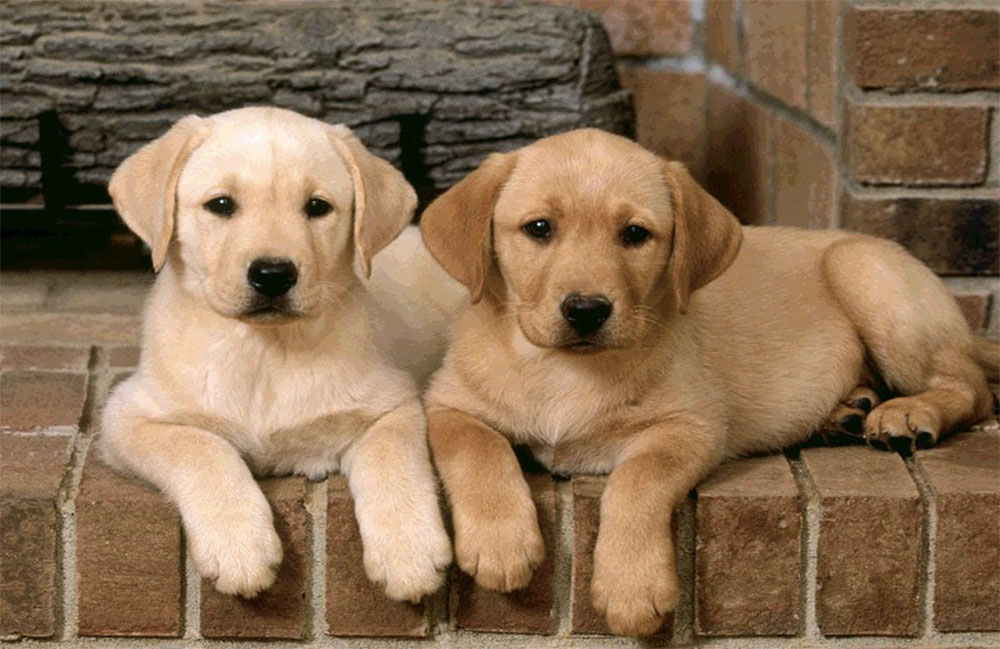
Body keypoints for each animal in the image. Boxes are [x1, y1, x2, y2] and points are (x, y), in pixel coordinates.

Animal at [101, 107, 460, 602]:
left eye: (317, 207)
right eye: (221, 205)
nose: (273, 274)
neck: (263, 352)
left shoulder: (393, 405)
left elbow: (395, 461)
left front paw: (410, 550)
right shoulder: (129, 417)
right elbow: (201, 447)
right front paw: (239, 544)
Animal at [417, 128, 998, 635]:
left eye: (635, 234)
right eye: (539, 228)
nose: (586, 310)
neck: (566, 368)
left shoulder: (692, 424)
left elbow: (639, 478)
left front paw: (631, 585)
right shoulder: (447, 404)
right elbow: (476, 447)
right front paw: (501, 541)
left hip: (867, 273)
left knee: (973, 388)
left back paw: (908, 413)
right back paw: (845, 412)